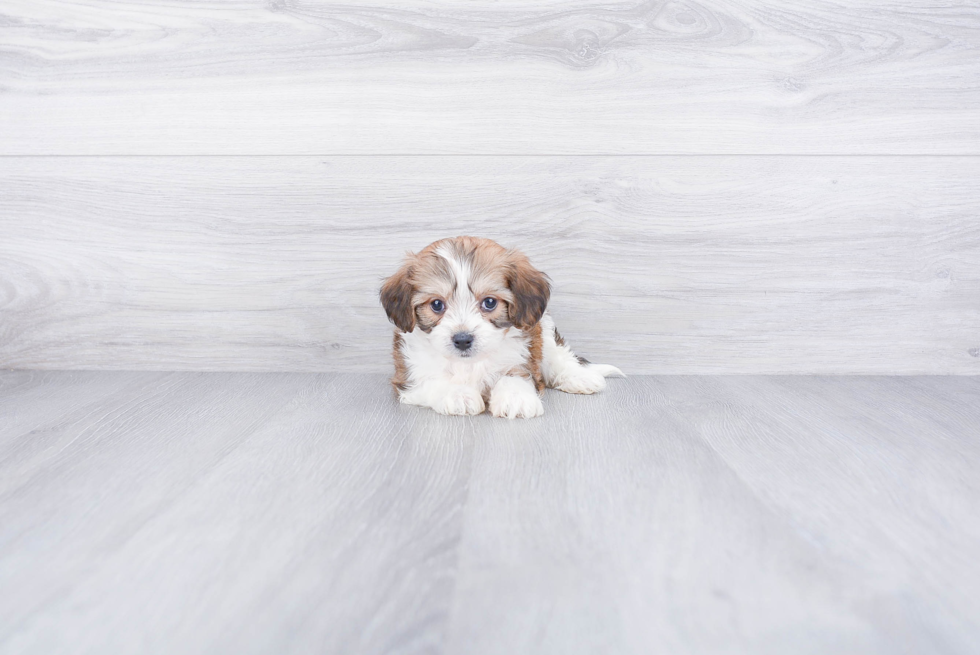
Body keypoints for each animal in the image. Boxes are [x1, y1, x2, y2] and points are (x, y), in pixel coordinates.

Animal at [378, 238, 624, 418]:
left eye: (489, 302)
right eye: (437, 304)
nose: (463, 339)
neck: (470, 363)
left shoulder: (522, 358)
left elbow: (513, 375)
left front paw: (516, 398)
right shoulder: (409, 376)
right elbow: (433, 380)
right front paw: (458, 395)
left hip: (544, 329)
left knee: (559, 357)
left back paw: (579, 377)